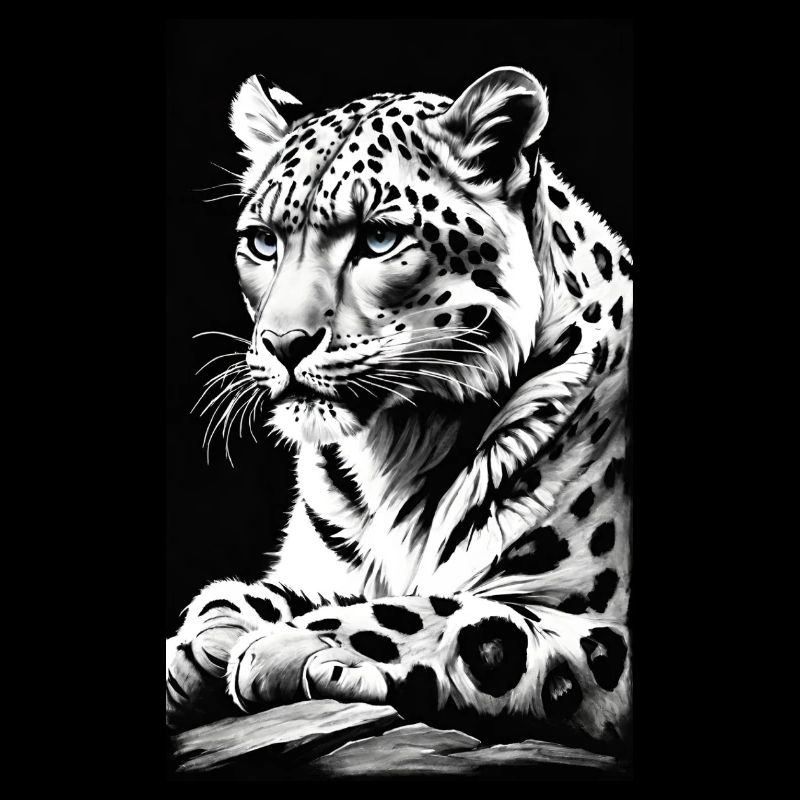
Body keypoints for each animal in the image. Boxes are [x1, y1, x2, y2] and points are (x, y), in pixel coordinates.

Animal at [166, 66, 633, 756]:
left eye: (380, 238)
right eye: (263, 242)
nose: (283, 342)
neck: (397, 448)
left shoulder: (609, 629)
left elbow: (452, 613)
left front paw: (285, 643)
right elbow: (310, 587)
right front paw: (212, 627)